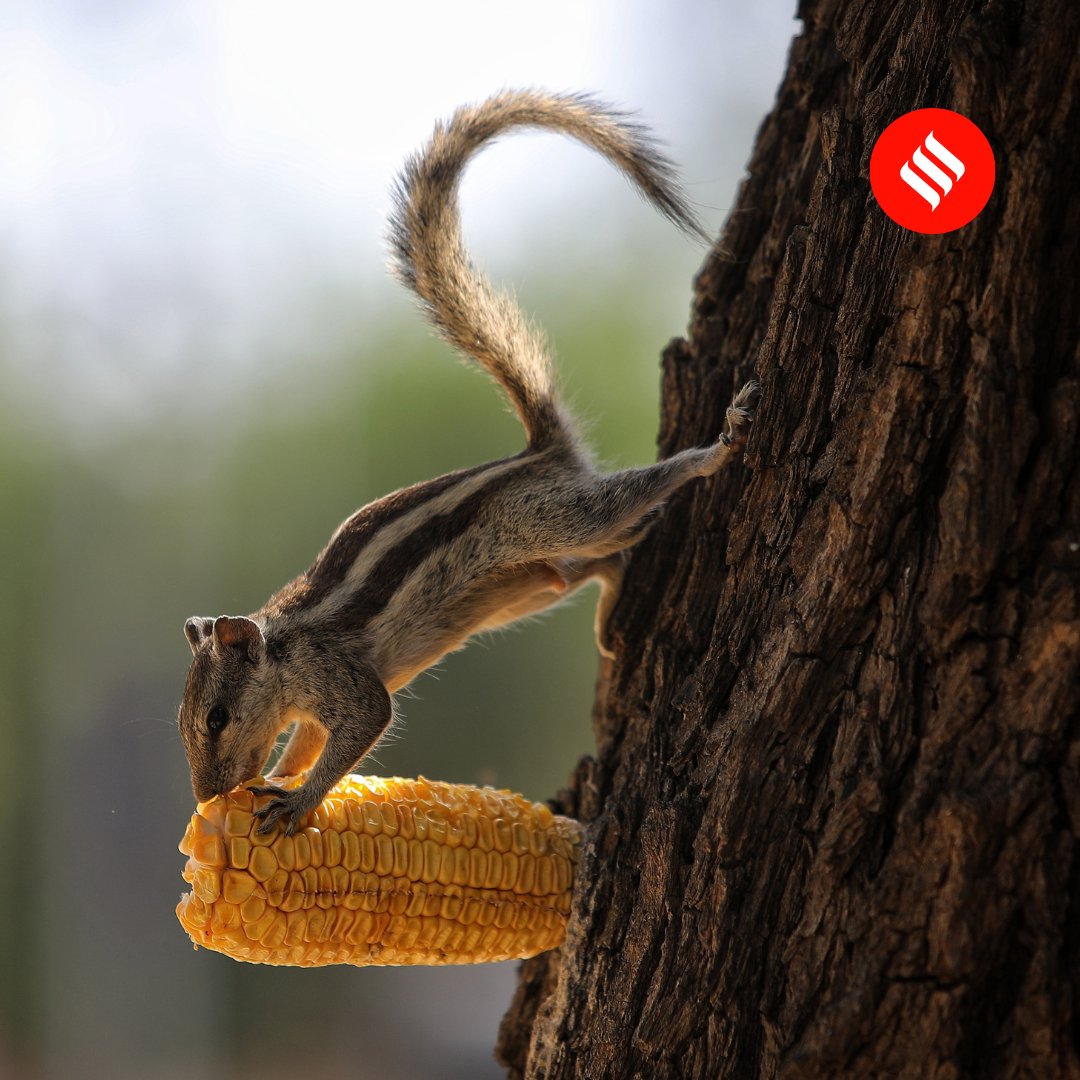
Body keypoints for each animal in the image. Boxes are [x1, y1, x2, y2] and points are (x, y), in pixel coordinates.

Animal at [178, 90, 759, 834]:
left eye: (218, 717)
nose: (205, 797)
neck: (285, 648)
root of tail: (539, 452)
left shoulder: (339, 679)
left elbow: (362, 725)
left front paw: (296, 802)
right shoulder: (312, 707)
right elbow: (307, 742)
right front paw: (281, 778)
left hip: (555, 518)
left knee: (627, 511)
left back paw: (717, 447)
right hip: (525, 586)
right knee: (605, 563)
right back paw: (610, 616)